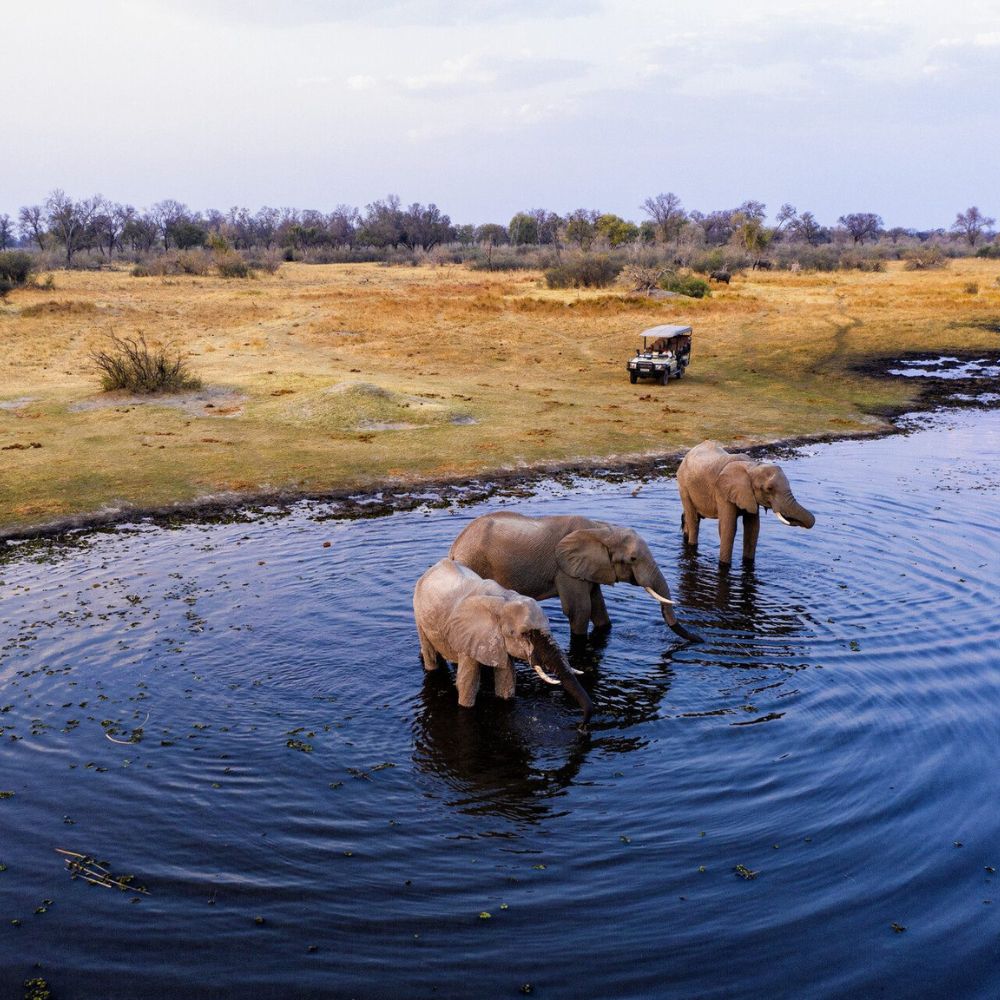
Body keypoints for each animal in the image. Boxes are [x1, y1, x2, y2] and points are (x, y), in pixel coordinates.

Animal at [413, 558, 592, 722]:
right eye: (525, 634)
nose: (582, 727)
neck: (504, 600)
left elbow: (507, 679)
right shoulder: (469, 635)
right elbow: (467, 683)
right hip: (418, 612)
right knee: (429, 653)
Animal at [449, 512, 701, 643]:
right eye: (633, 559)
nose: (700, 639)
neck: (601, 528)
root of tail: (455, 547)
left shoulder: (589, 569)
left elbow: (598, 609)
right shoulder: (566, 571)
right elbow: (580, 610)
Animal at [677, 440, 816, 565]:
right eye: (769, 489)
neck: (752, 466)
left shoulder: (750, 497)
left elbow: (753, 528)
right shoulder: (723, 492)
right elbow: (728, 529)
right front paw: (724, 565)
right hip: (684, 485)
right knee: (693, 519)